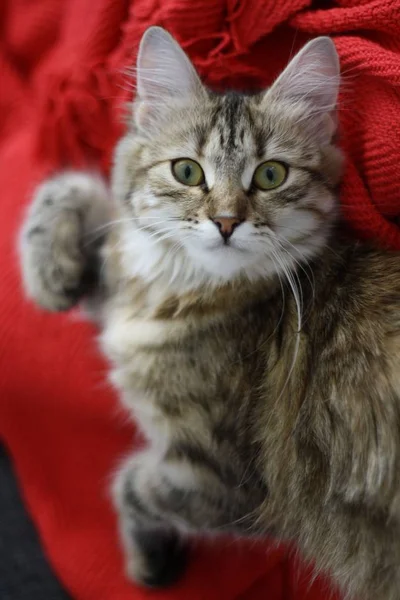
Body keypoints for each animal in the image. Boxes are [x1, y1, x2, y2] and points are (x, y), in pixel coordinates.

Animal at [18, 27, 400, 600]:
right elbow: (78, 187)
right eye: (186, 171)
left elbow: (131, 484)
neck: (181, 289)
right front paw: (53, 276)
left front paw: (149, 560)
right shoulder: (124, 290)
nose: (225, 221)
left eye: (270, 175)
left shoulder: (229, 482)